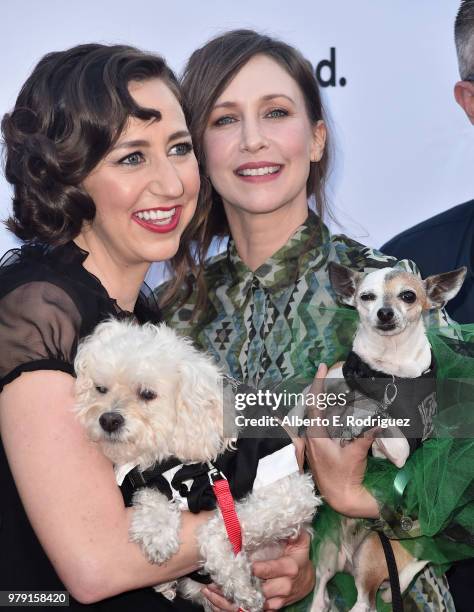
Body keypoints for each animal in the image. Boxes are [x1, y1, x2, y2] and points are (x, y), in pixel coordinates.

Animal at [75, 318, 318, 608]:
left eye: (147, 394)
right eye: (100, 389)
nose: (108, 420)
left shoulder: (288, 495)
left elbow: (220, 528)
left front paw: (240, 584)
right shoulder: (152, 481)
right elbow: (151, 496)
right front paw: (157, 531)